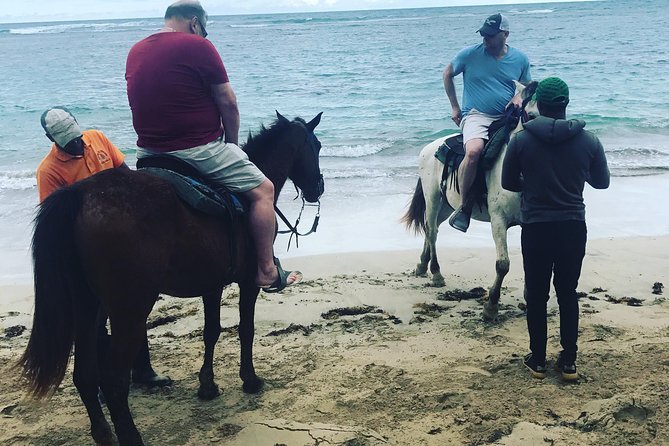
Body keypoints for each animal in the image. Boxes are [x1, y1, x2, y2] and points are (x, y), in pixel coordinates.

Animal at [19, 111, 322, 446]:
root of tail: (79, 195)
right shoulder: (247, 283)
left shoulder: (212, 285)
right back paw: (131, 437)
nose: (318, 187)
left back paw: (103, 433)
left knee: (85, 374)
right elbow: (246, 329)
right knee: (113, 380)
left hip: (88, 307)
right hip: (130, 310)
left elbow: (211, 331)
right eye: (317, 146)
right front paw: (250, 380)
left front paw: (207, 386)